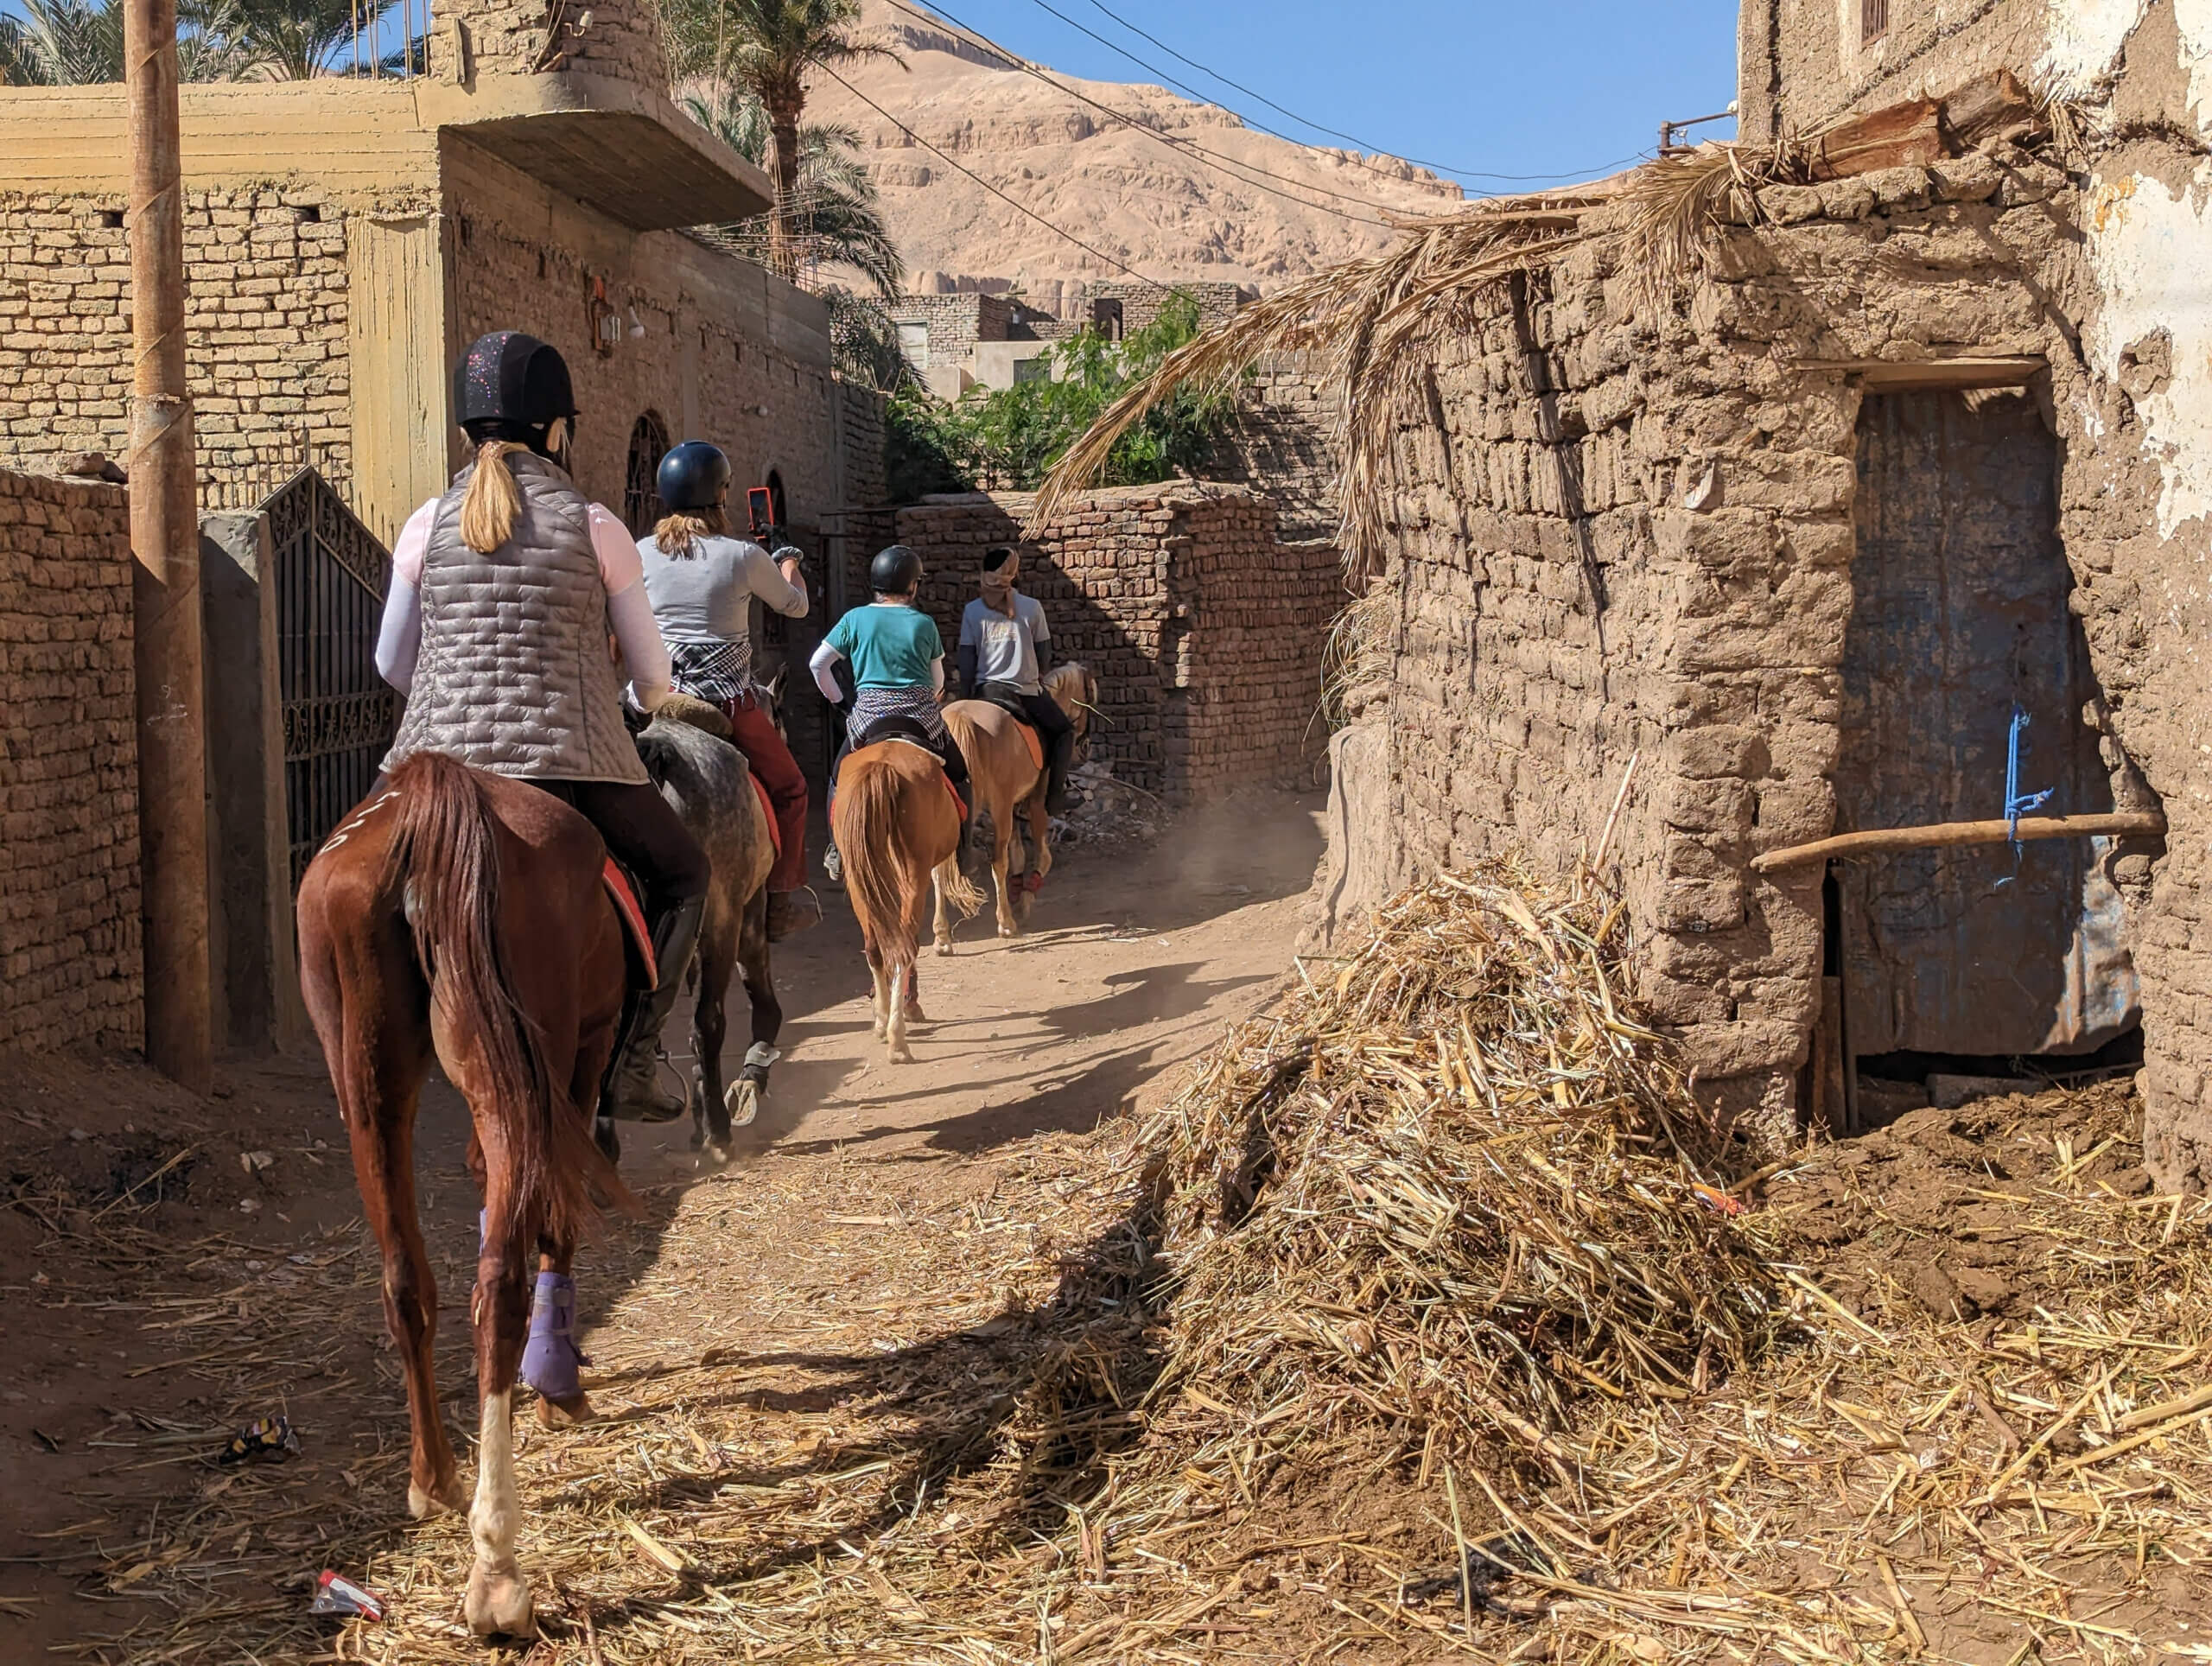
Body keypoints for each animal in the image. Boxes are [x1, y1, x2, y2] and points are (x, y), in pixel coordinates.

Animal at [294, 752, 632, 1637]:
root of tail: (427, 796)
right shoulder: (579, 1061)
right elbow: (555, 1227)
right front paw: (558, 1389)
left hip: (368, 1081)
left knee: (406, 1281)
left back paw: (435, 1478)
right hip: (531, 1064)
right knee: (501, 1285)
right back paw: (498, 1569)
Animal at [831, 739, 982, 1057]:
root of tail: (883, 768)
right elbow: (939, 879)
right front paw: (942, 940)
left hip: (859, 879)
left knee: (876, 949)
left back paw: (882, 1020)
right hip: (912, 871)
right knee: (905, 949)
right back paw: (898, 1036)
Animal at [938, 659, 1101, 946]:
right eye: (1090, 697)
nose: (1085, 747)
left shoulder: (1014, 807)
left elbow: (1018, 855)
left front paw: (1016, 895)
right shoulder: (1034, 802)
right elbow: (1041, 857)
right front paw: (1024, 903)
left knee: (936, 871)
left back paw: (942, 936)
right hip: (1000, 808)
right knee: (997, 861)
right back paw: (1005, 923)